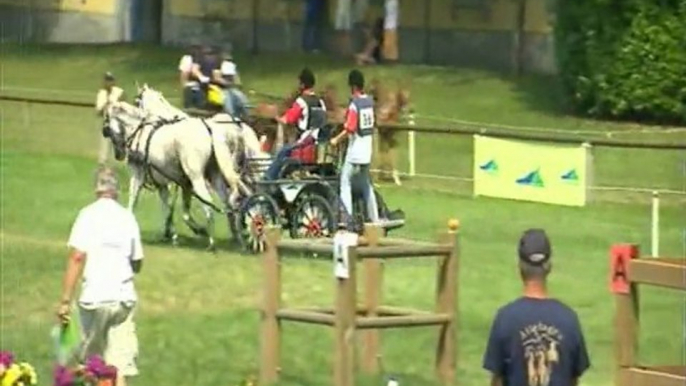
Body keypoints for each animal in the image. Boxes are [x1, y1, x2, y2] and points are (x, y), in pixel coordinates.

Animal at [102, 100, 253, 250]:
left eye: (107, 124)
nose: (119, 155)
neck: (140, 132)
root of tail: (209, 130)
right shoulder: (171, 184)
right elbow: (170, 209)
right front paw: (173, 234)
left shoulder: (138, 176)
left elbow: (133, 201)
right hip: (214, 178)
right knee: (228, 204)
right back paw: (237, 238)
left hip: (197, 179)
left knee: (209, 204)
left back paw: (212, 242)